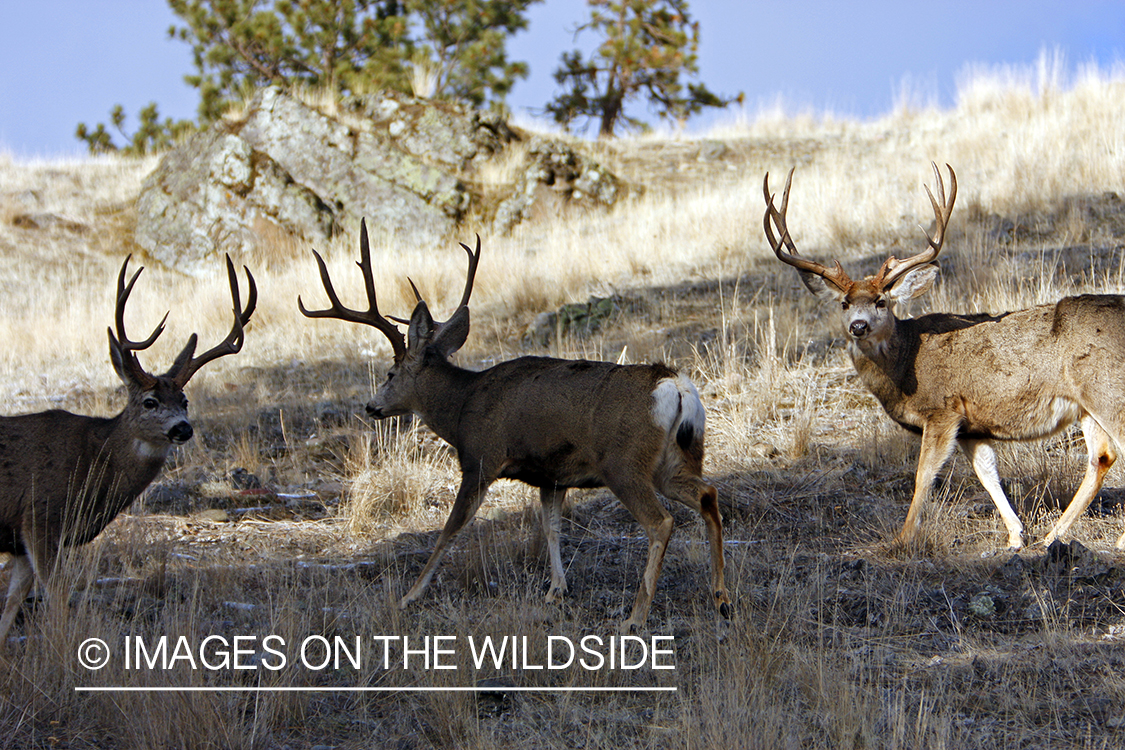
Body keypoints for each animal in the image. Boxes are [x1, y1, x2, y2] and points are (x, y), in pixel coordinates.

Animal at [0, 255, 256, 641]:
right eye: (150, 401)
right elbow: (57, 599)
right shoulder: (40, 518)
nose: (183, 428)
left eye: (184, 400)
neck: (93, 460)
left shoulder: (18, 541)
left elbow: (10, 609)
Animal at [299, 221, 730, 632]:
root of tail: (674, 386)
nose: (371, 406)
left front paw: (410, 595)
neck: (462, 406)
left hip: (624, 462)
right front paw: (556, 589)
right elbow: (551, 527)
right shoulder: (552, 475)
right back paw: (720, 598)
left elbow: (449, 530)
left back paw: (636, 616)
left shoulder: (480, 459)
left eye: (390, 373)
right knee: (708, 495)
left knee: (661, 522)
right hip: (676, 459)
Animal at [764, 162, 1125, 552]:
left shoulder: (942, 411)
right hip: (1086, 406)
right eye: (844, 303)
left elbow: (924, 475)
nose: (858, 326)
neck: (905, 364)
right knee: (1102, 456)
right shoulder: (972, 427)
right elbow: (987, 473)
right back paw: (1052, 535)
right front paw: (1015, 535)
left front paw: (904, 537)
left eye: (881, 301)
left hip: (1107, 390)